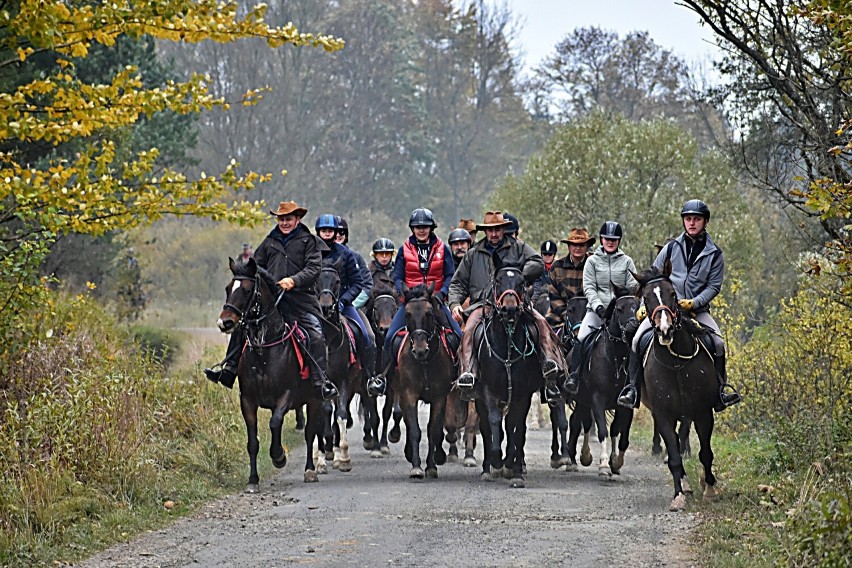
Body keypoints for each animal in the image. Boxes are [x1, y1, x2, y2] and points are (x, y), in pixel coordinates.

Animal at [216, 260, 326, 490]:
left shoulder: (286, 395)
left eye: (247, 290)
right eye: (228, 289)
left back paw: (310, 469)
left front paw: (279, 456)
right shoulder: (247, 400)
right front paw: (252, 480)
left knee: (310, 433)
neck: (263, 351)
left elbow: (275, 423)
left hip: (315, 399)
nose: (225, 323)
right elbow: (253, 442)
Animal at [396, 284, 456, 480]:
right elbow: (415, 429)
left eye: (429, 313)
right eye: (407, 314)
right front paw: (416, 467)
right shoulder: (409, 394)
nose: (420, 350)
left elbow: (434, 430)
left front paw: (431, 466)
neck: (425, 362)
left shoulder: (440, 396)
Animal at [470, 260, 544, 486]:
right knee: (487, 428)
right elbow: (494, 423)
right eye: (498, 281)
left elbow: (515, 428)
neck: (507, 346)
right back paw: (489, 467)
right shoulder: (488, 391)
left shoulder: (522, 394)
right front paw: (496, 461)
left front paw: (514, 469)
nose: (509, 309)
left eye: (521, 283)